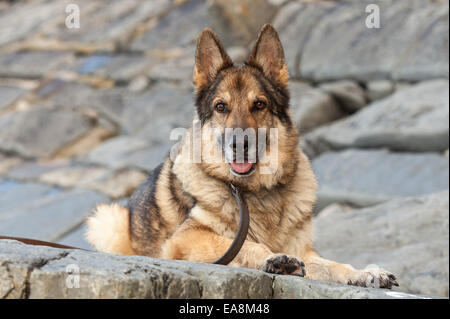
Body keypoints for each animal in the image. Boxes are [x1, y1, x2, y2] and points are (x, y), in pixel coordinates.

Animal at [86, 25, 400, 290]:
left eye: (259, 104)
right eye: (221, 107)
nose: (240, 144)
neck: (257, 191)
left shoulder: (306, 251)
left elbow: (334, 265)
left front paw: (366, 272)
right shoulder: (186, 239)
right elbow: (244, 245)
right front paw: (274, 259)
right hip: (106, 218)